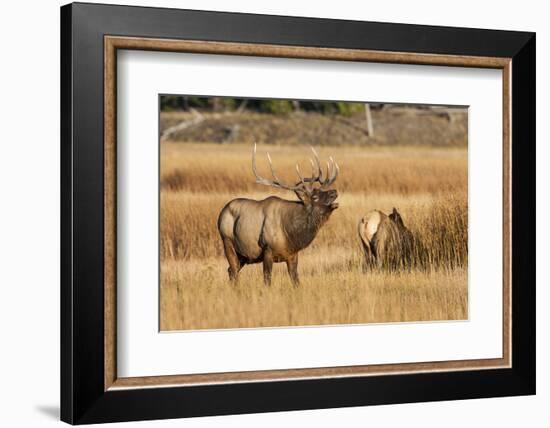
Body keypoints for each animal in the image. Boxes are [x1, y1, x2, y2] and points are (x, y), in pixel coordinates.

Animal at [217, 145, 340, 288]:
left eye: (321, 191)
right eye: (314, 197)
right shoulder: (267, 250)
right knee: (233, 269)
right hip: (227, 241)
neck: (291, 234)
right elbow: (267, 280)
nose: (334, 191)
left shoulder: (292, 255)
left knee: (231, 270)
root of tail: (221, 214)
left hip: (244, 255)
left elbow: (296, 281)